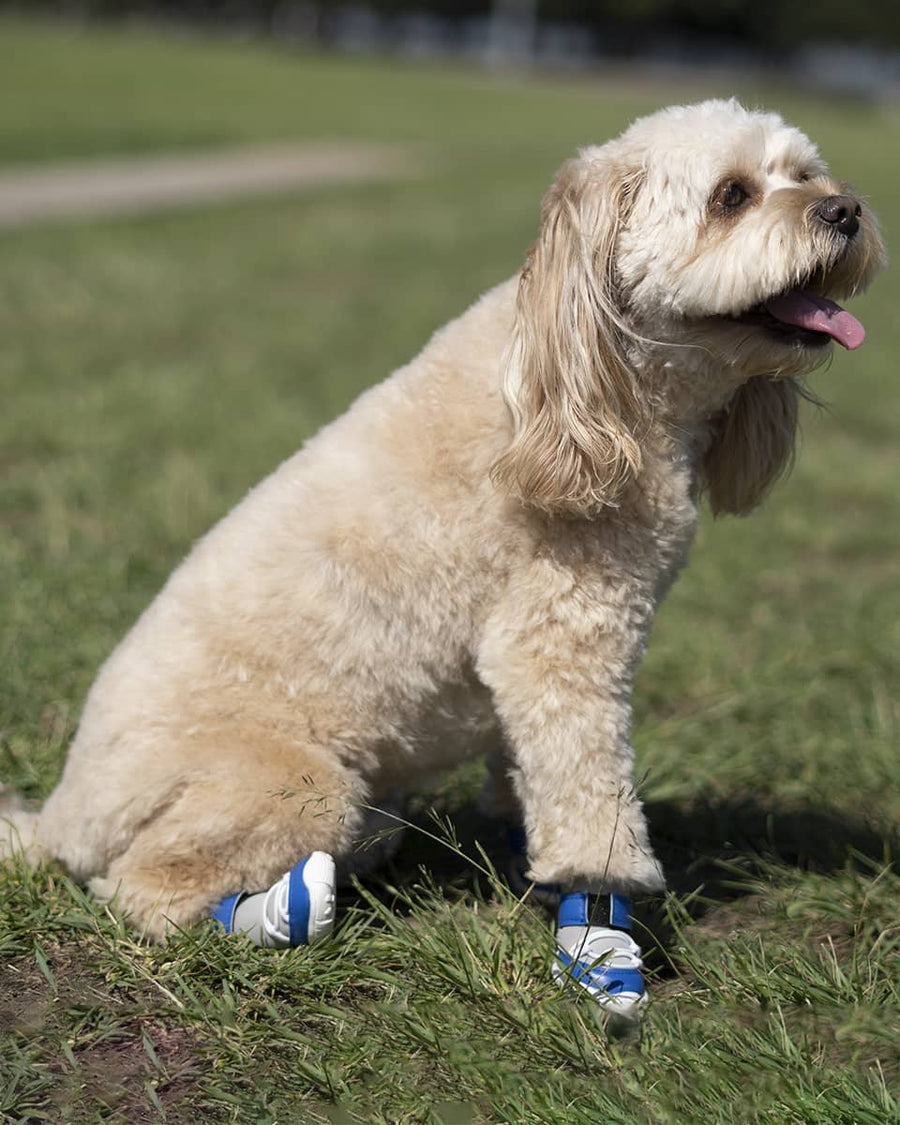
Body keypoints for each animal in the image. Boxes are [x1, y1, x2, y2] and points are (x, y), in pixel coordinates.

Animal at [0, 99, 886, 958]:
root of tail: (62, 815)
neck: (597, 380)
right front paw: (602, 909)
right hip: (289, 783)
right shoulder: (561, 640)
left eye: (804, 173)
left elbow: (530, 770)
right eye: (731, 196)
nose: (846, 208)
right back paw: (281, 913)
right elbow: (590, 791)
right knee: (143, 894)